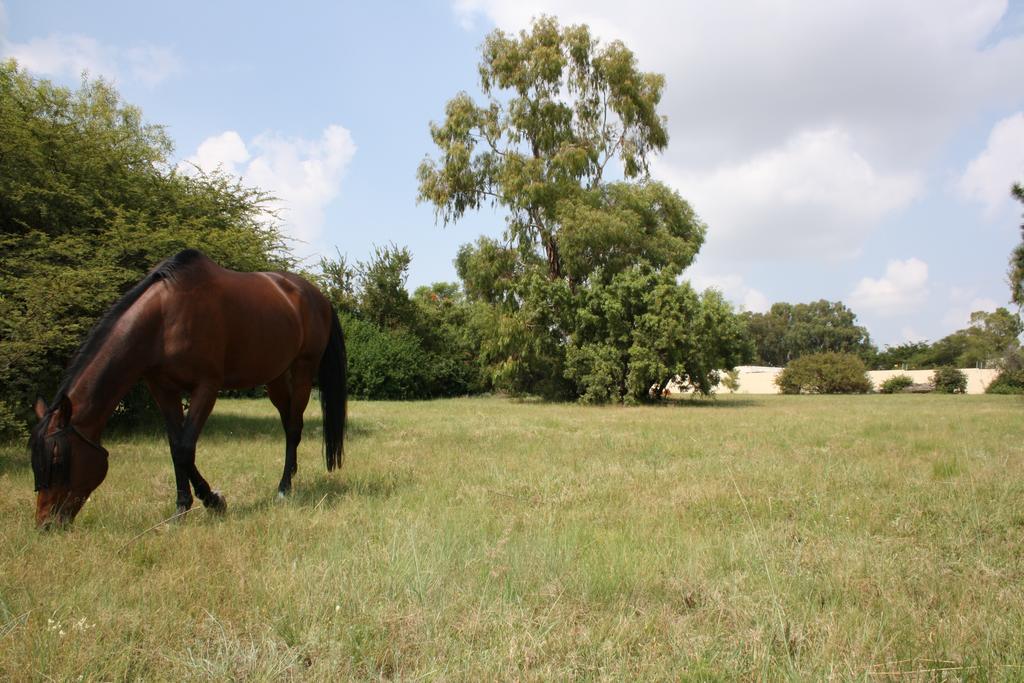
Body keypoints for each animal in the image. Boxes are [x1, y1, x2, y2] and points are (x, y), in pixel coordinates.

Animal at [29, 250, 348, 528]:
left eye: (57, 460)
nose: (46, 524)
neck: (164, 318)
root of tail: (316, 295)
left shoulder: (206, 387)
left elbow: (185, 449)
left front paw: (214, 501)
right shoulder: (163, 390)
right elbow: (175, 447)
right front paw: (181, 509)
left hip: (303, 368)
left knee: (294, 427)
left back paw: (284, 488)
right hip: (276, 377)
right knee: (287, 424)